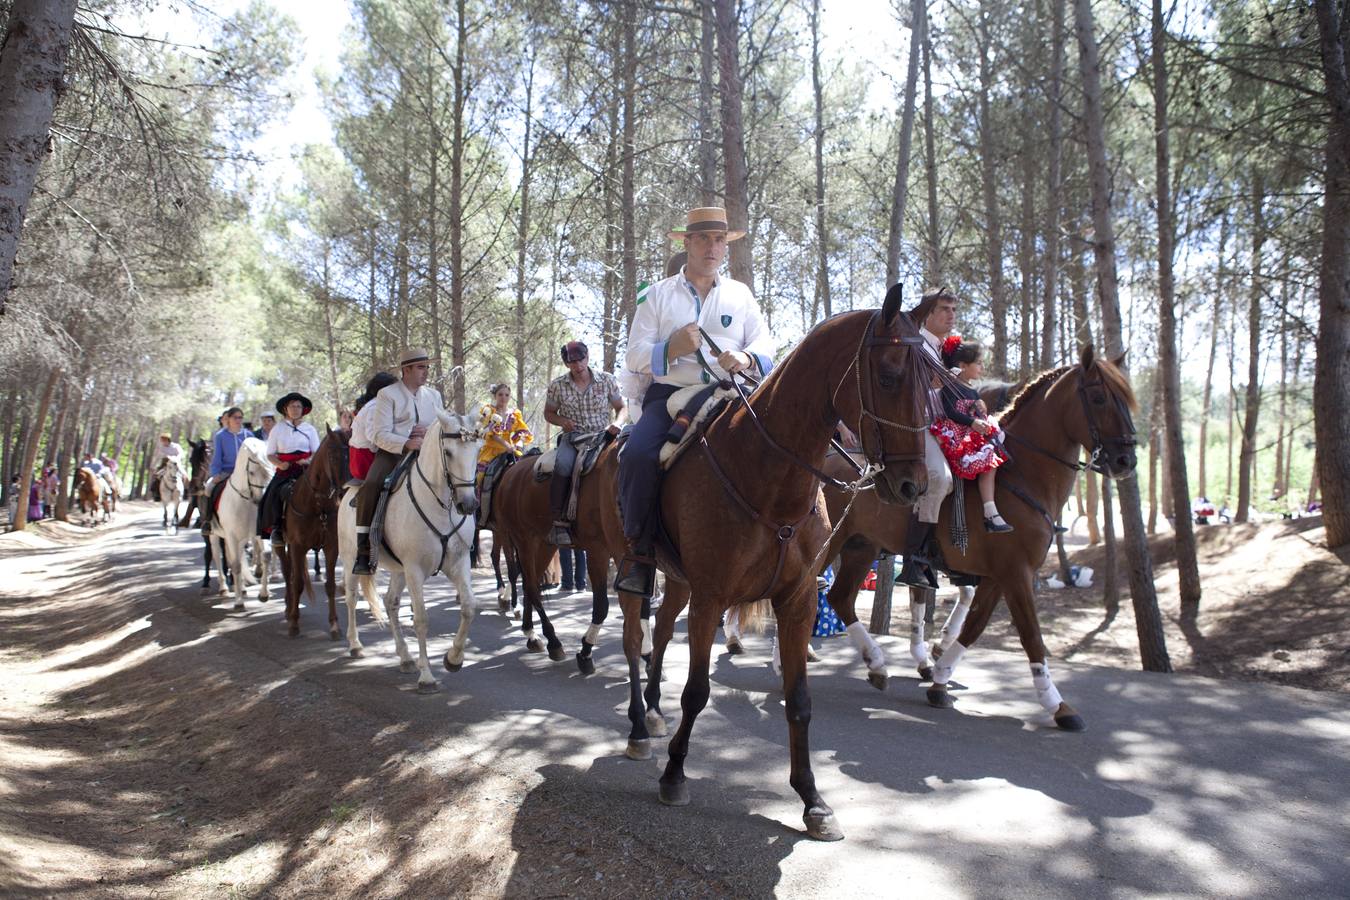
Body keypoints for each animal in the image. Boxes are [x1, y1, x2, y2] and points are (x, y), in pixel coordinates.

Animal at [207, 437, 274, 612]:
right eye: (251, 472)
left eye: (271, 471)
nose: (261, 501)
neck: (245, 500)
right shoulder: (231, 536)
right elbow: (236, 565)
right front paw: (238, 602)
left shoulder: (258, 534)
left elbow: (266, 555)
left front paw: (264, 594)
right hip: (215, 536)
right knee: (218, 556)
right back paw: (224, 588)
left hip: (241, 539)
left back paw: (242, 589)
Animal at [271, 429, 348, 639]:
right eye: (333, 456)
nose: (345, 490)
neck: (318, 504)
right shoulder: (298, 546)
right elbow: (297, 583)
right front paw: (294, 624)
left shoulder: (331, 547)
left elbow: (330, 585)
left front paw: (334, 625)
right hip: (283, 544)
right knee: (287, 571)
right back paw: (288, 608)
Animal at [340, 412, 483, 696]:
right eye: (448, 452)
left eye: (476, 451)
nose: (468, 504)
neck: (441, 506)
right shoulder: (415, 569)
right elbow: (421, 619)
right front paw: (427, 675)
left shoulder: (458, 564)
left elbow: (468, 607)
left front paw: (453, 658)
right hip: (351, 558)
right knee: (351, 599)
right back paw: (355, 645)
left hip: (399, 570)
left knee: (390, 602)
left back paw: (405, 657)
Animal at [618, 292, 939, 841]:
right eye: (890, 375)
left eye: (932, 383)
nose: (913, 486)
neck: (766, 477)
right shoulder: (711, 598)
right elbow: (697, 691)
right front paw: (675, 773)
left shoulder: (797, 600)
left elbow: (799, 700)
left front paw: (813, 799)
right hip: (621, 565)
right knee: (634, 639)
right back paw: (641, 730)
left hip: (679, 580)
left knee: (658, 632)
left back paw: (655, 712)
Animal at [820, 345, 1139, 734]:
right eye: (1099, 398)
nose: (1127, 459)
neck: (1018, 476)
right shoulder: (1016, 574)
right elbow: (1031, 635)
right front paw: (1058, 705)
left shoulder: (999, 575)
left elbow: (973, 626)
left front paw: (940, 678)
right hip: (829, 544)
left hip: (860, 546)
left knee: (839, 597)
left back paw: (877, 665)